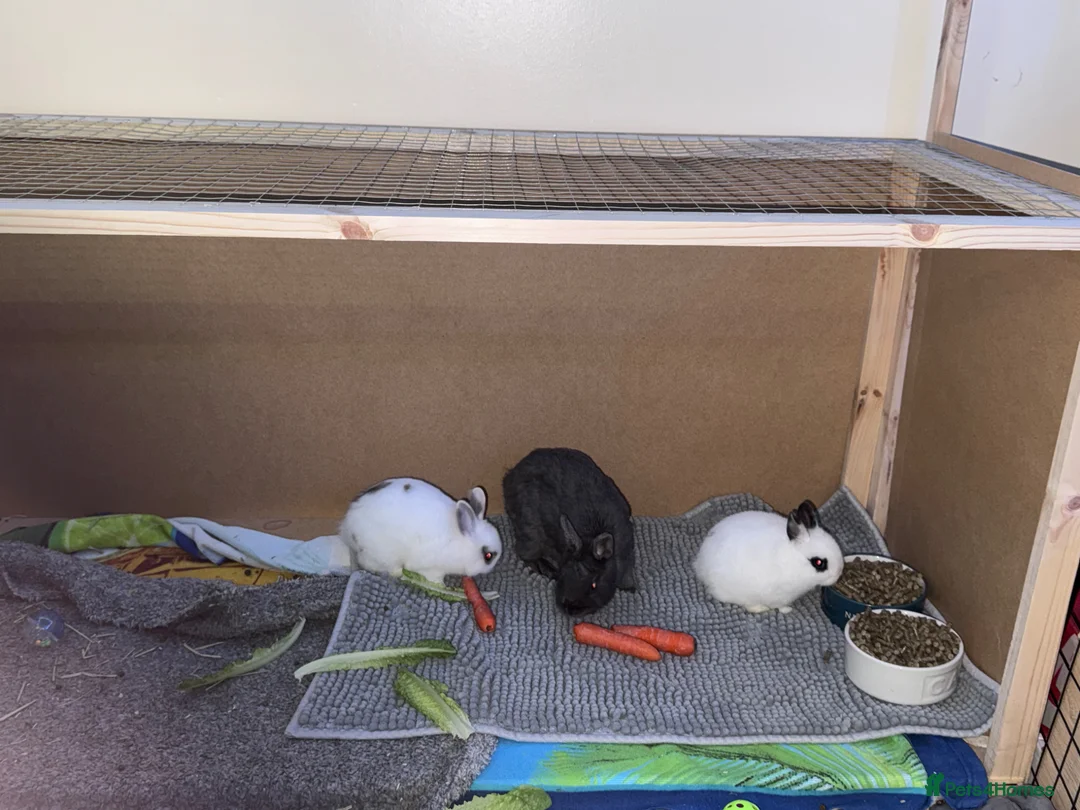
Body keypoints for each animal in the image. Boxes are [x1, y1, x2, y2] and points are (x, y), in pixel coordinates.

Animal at [339, 477, 502, 584]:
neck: (460, 542)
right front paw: (440, 585)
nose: (493, 567)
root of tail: (347, 529)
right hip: (383, 555)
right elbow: (434, 578)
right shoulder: (432, 568)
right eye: (488, 556)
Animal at [502, 447, 635, 616]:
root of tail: (510, 477)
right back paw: (544, 568)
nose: (569, 608)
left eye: (593, 585)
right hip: (531, 532)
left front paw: (630, 588)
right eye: (564, 574)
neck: (590, 536)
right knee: (524, 553)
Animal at [693, 499, 843, 614]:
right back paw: (761, 609)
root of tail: (700, 564)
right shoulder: (779, 596)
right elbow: (780, 606)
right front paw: (787, 610)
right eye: (818, 562)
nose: (838, 573)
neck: (792, 562)